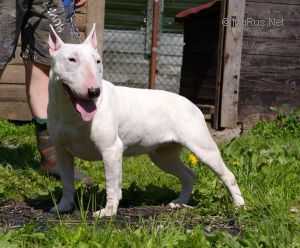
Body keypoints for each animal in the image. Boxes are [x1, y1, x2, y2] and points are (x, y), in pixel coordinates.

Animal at [46, 24, 244, 216]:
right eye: (72, 59)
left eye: (98, 61)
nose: (95, 91)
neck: (70, 112)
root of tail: (192, 104)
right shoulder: (62, 151)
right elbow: (67, 182)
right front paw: (63, 206)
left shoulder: (111, 150)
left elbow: (112, 184)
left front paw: (108, 212)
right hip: (162, 155)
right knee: (189, 175)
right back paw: (179, 202)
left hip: (203, 148)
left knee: (228, 175)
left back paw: (239, 206)